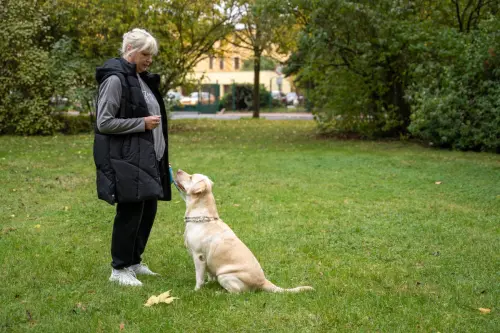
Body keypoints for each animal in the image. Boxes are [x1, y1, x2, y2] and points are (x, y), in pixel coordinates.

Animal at [175, 170, 312, 292]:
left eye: (191, 177)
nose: (178, 170)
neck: (202, 217)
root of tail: (263, 282)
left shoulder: (199, 256)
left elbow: (199, 278)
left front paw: (196, 290)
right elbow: (208, 275)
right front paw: (209, 283)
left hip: (225, 276)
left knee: (237, 292)